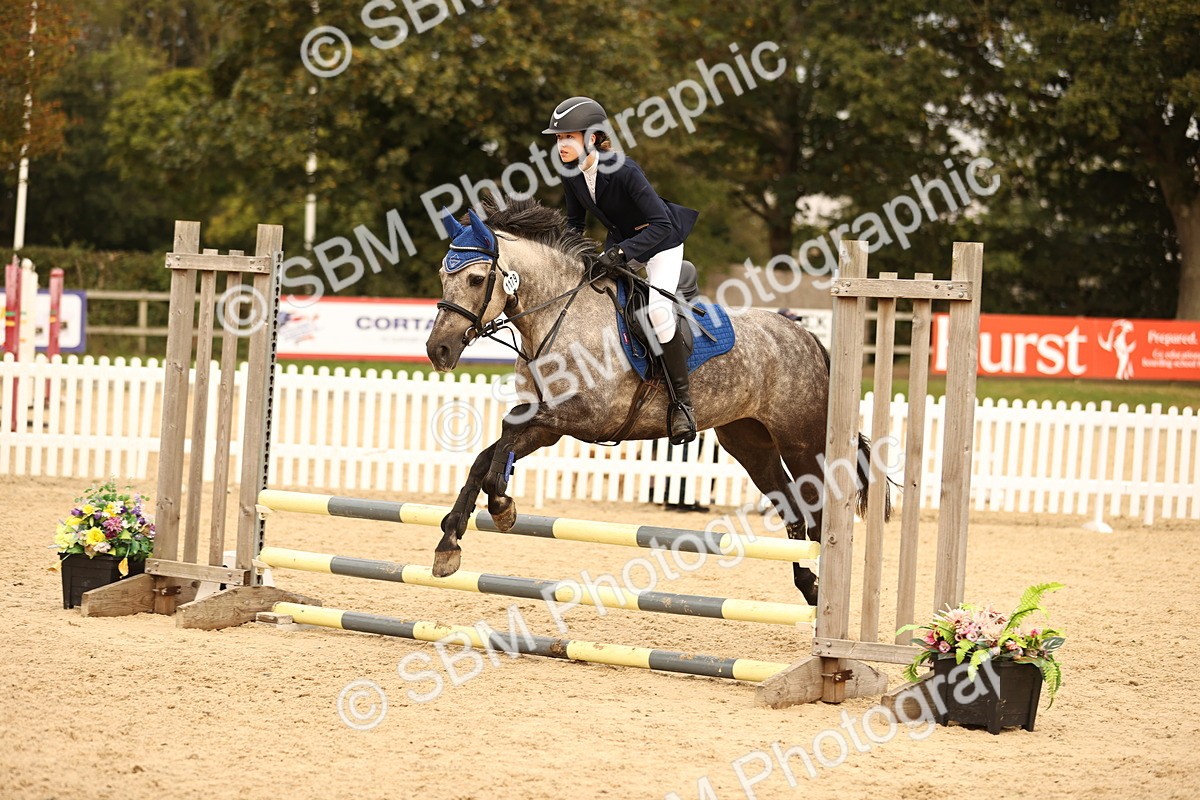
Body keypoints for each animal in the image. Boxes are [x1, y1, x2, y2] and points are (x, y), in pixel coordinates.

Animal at [424, 197, 885, 606]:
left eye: (476, 279)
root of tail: (804, 335)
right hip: (749, 443)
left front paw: (500, 504)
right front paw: (450, 540)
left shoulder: (585, 418)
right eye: (444, 277)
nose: (437, 350)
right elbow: (486, 455)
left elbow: (505, 433)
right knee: (793, 509)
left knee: (820, 509)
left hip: (801, 441)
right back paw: (808, 585)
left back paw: (823, 595)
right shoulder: (547, 426)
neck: (560, 316)